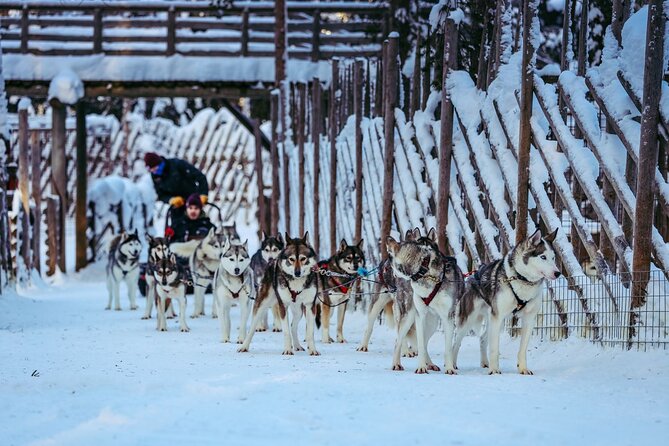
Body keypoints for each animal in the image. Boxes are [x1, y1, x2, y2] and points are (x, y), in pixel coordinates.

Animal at [386, 232, 464, 374]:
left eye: (400, 243)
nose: (388, 239)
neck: (425, 271)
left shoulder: (448, 317)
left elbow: (448, 348)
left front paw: (449, 368)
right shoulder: (420, 315)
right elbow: (421, 345)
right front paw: (421, 367)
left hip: (432, 323)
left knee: (424, 342)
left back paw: (430, 364)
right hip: (409, 317)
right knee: (399, 340)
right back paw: (396, 364)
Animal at [454, 228, 560, 374]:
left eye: (553, 257)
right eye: (543, 257)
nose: (558, 273)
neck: (522, 278)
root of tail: (472, 276)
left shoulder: (529, 319)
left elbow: (522, 349)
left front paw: (523, 369)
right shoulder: (497, 317)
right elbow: (494, 348)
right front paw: (494, 370)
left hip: (497, 321)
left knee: (483, 338)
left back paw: (485, 362)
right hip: (470, 320)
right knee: (456, 342)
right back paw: (452, 364)